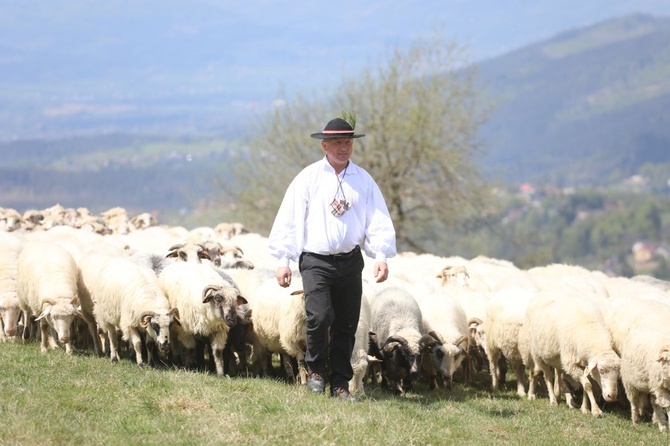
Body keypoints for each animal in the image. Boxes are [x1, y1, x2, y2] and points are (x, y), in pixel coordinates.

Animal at [528, 290, 624, 418]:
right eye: (601, 370)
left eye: (618, 373)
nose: (612, 397)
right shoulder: (571, 364)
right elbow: (588, 385)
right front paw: (596, 410)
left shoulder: (585, 364)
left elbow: (586, 385)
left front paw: (585, 408)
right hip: (538, 354)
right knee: (547, 376)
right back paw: (553, 400)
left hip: (558, 357)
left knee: (558, 373)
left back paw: (563, 397)